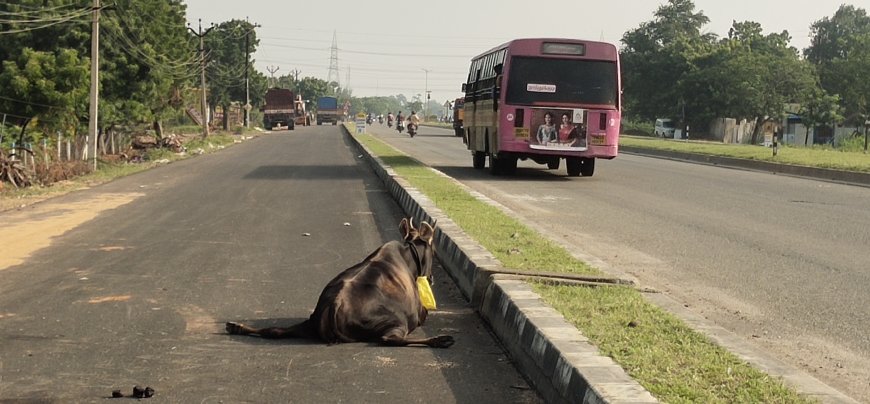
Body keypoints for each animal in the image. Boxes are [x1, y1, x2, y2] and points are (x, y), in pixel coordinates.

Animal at [225, 218, 456, 348]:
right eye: (434, 249)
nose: (431, 278)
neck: (410, 259)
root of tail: (333, 306)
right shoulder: (419, 314)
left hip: (310, 322)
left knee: (273, 330)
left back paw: (236, 326)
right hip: (395, 321)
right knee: (389, 339)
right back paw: (441, 340)